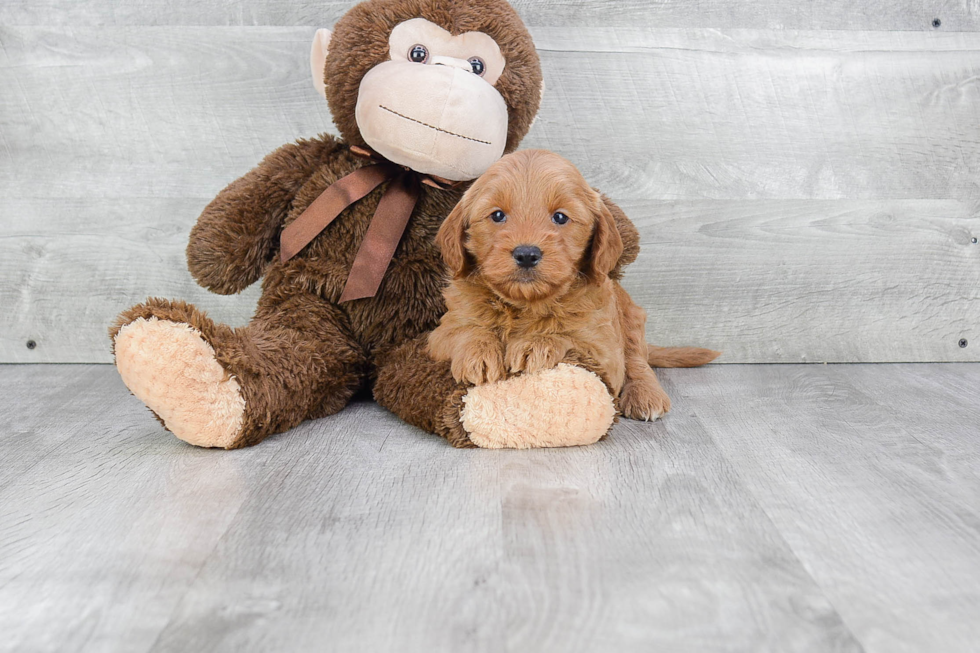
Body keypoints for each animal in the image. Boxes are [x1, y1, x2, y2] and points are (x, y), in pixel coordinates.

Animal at [428, 150, 720, 420]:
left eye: (560, 217)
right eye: (497, 215)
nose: (526, 254)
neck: (526, 304)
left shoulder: (605, 351)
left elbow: (572, 339)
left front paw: (537, 342)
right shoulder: (438, 335)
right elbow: (465, 331)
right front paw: (478, 352)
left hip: (632, 317)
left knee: (638, 359)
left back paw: (645, 394)